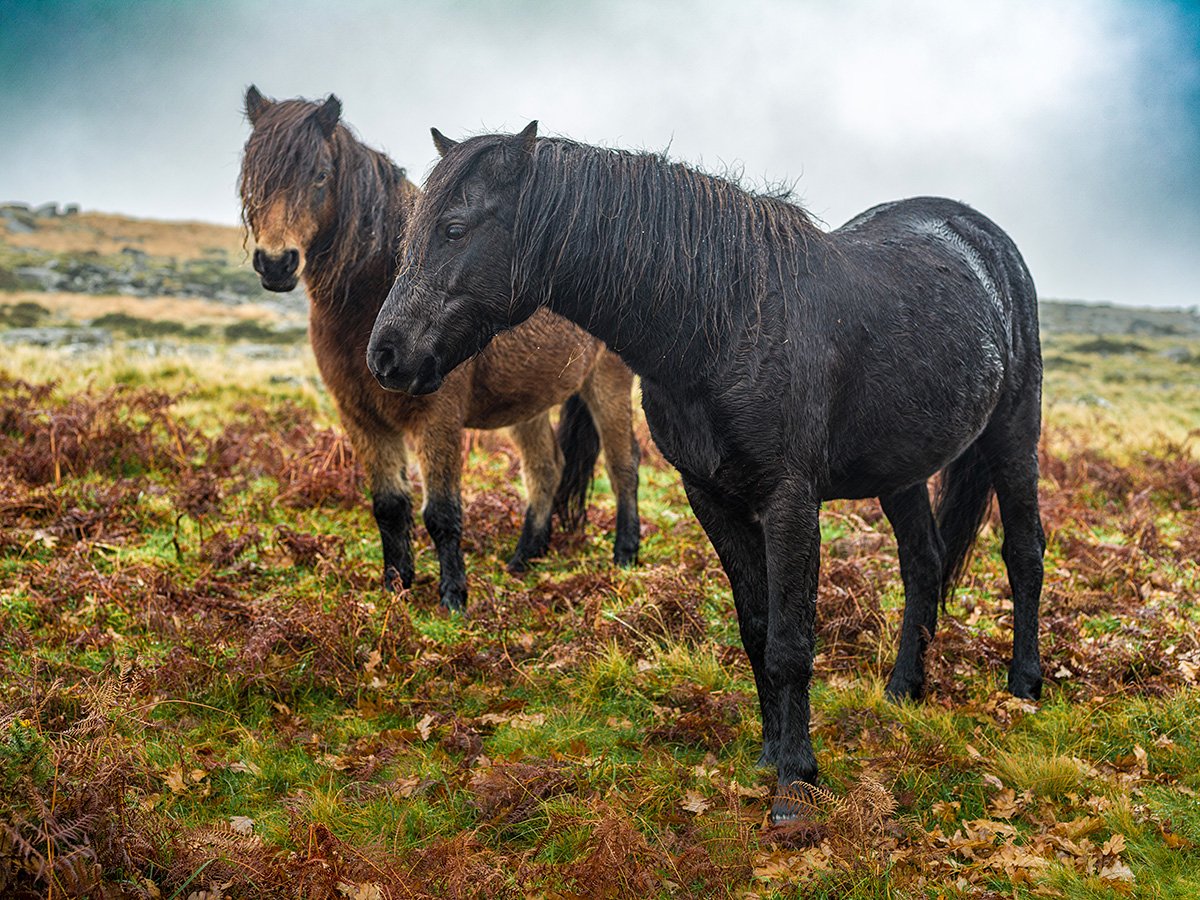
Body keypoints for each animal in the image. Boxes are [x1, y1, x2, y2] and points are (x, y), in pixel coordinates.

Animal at [237, 88, 643, 609]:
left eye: (320, 175)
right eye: (252, 173)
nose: (276, 262)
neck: (366, 303)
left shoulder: (437, 418)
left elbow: (442, 512)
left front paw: (453, 597)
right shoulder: (361, 418)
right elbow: (389, 506)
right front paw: (395, 586)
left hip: (607, 383)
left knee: (622, 464)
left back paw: (625, 555)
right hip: (528, 404)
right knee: (546, 470)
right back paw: (523, 559)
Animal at [369, 125, 1046, 825]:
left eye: (453, 228)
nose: (385, 355)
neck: (724, 321)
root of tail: (977, 235)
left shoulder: (790, 502)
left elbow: (790, 643)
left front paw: (796, 785)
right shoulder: (711, 498)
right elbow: (756, 631)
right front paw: (770, 758)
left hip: (1014, 435)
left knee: (1023, 552)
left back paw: (1024, 685)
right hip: (900, 470)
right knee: (923, 564)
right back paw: (903, 689)